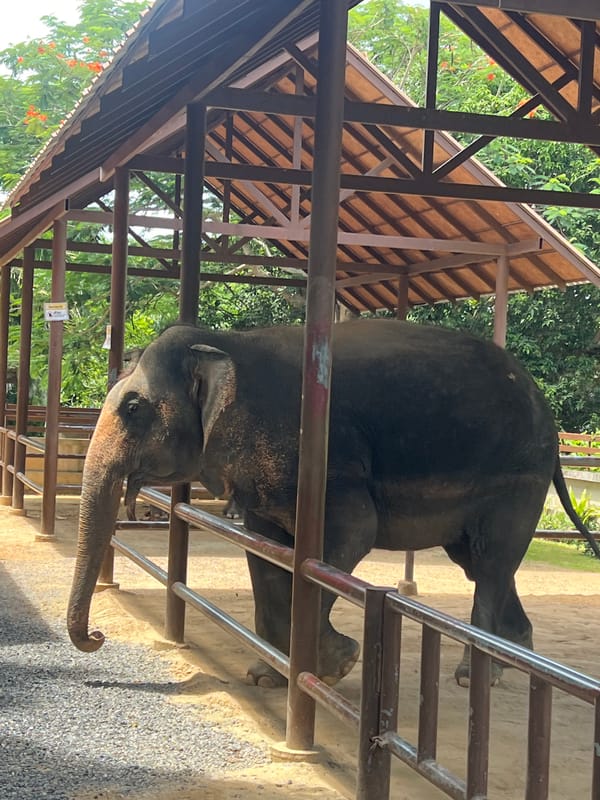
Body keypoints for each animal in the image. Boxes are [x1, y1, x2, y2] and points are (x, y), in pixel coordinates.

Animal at [67, 319, 599, 687]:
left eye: (133, 408)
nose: (97, 638)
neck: (229, 342)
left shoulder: (329, 462)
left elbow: (351, 535)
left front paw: (336, 665)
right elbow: (264, 549)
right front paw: (267, 676)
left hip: (518, 477)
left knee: (490, 562)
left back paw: (476, 676)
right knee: (481, 562)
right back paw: (518, 655)